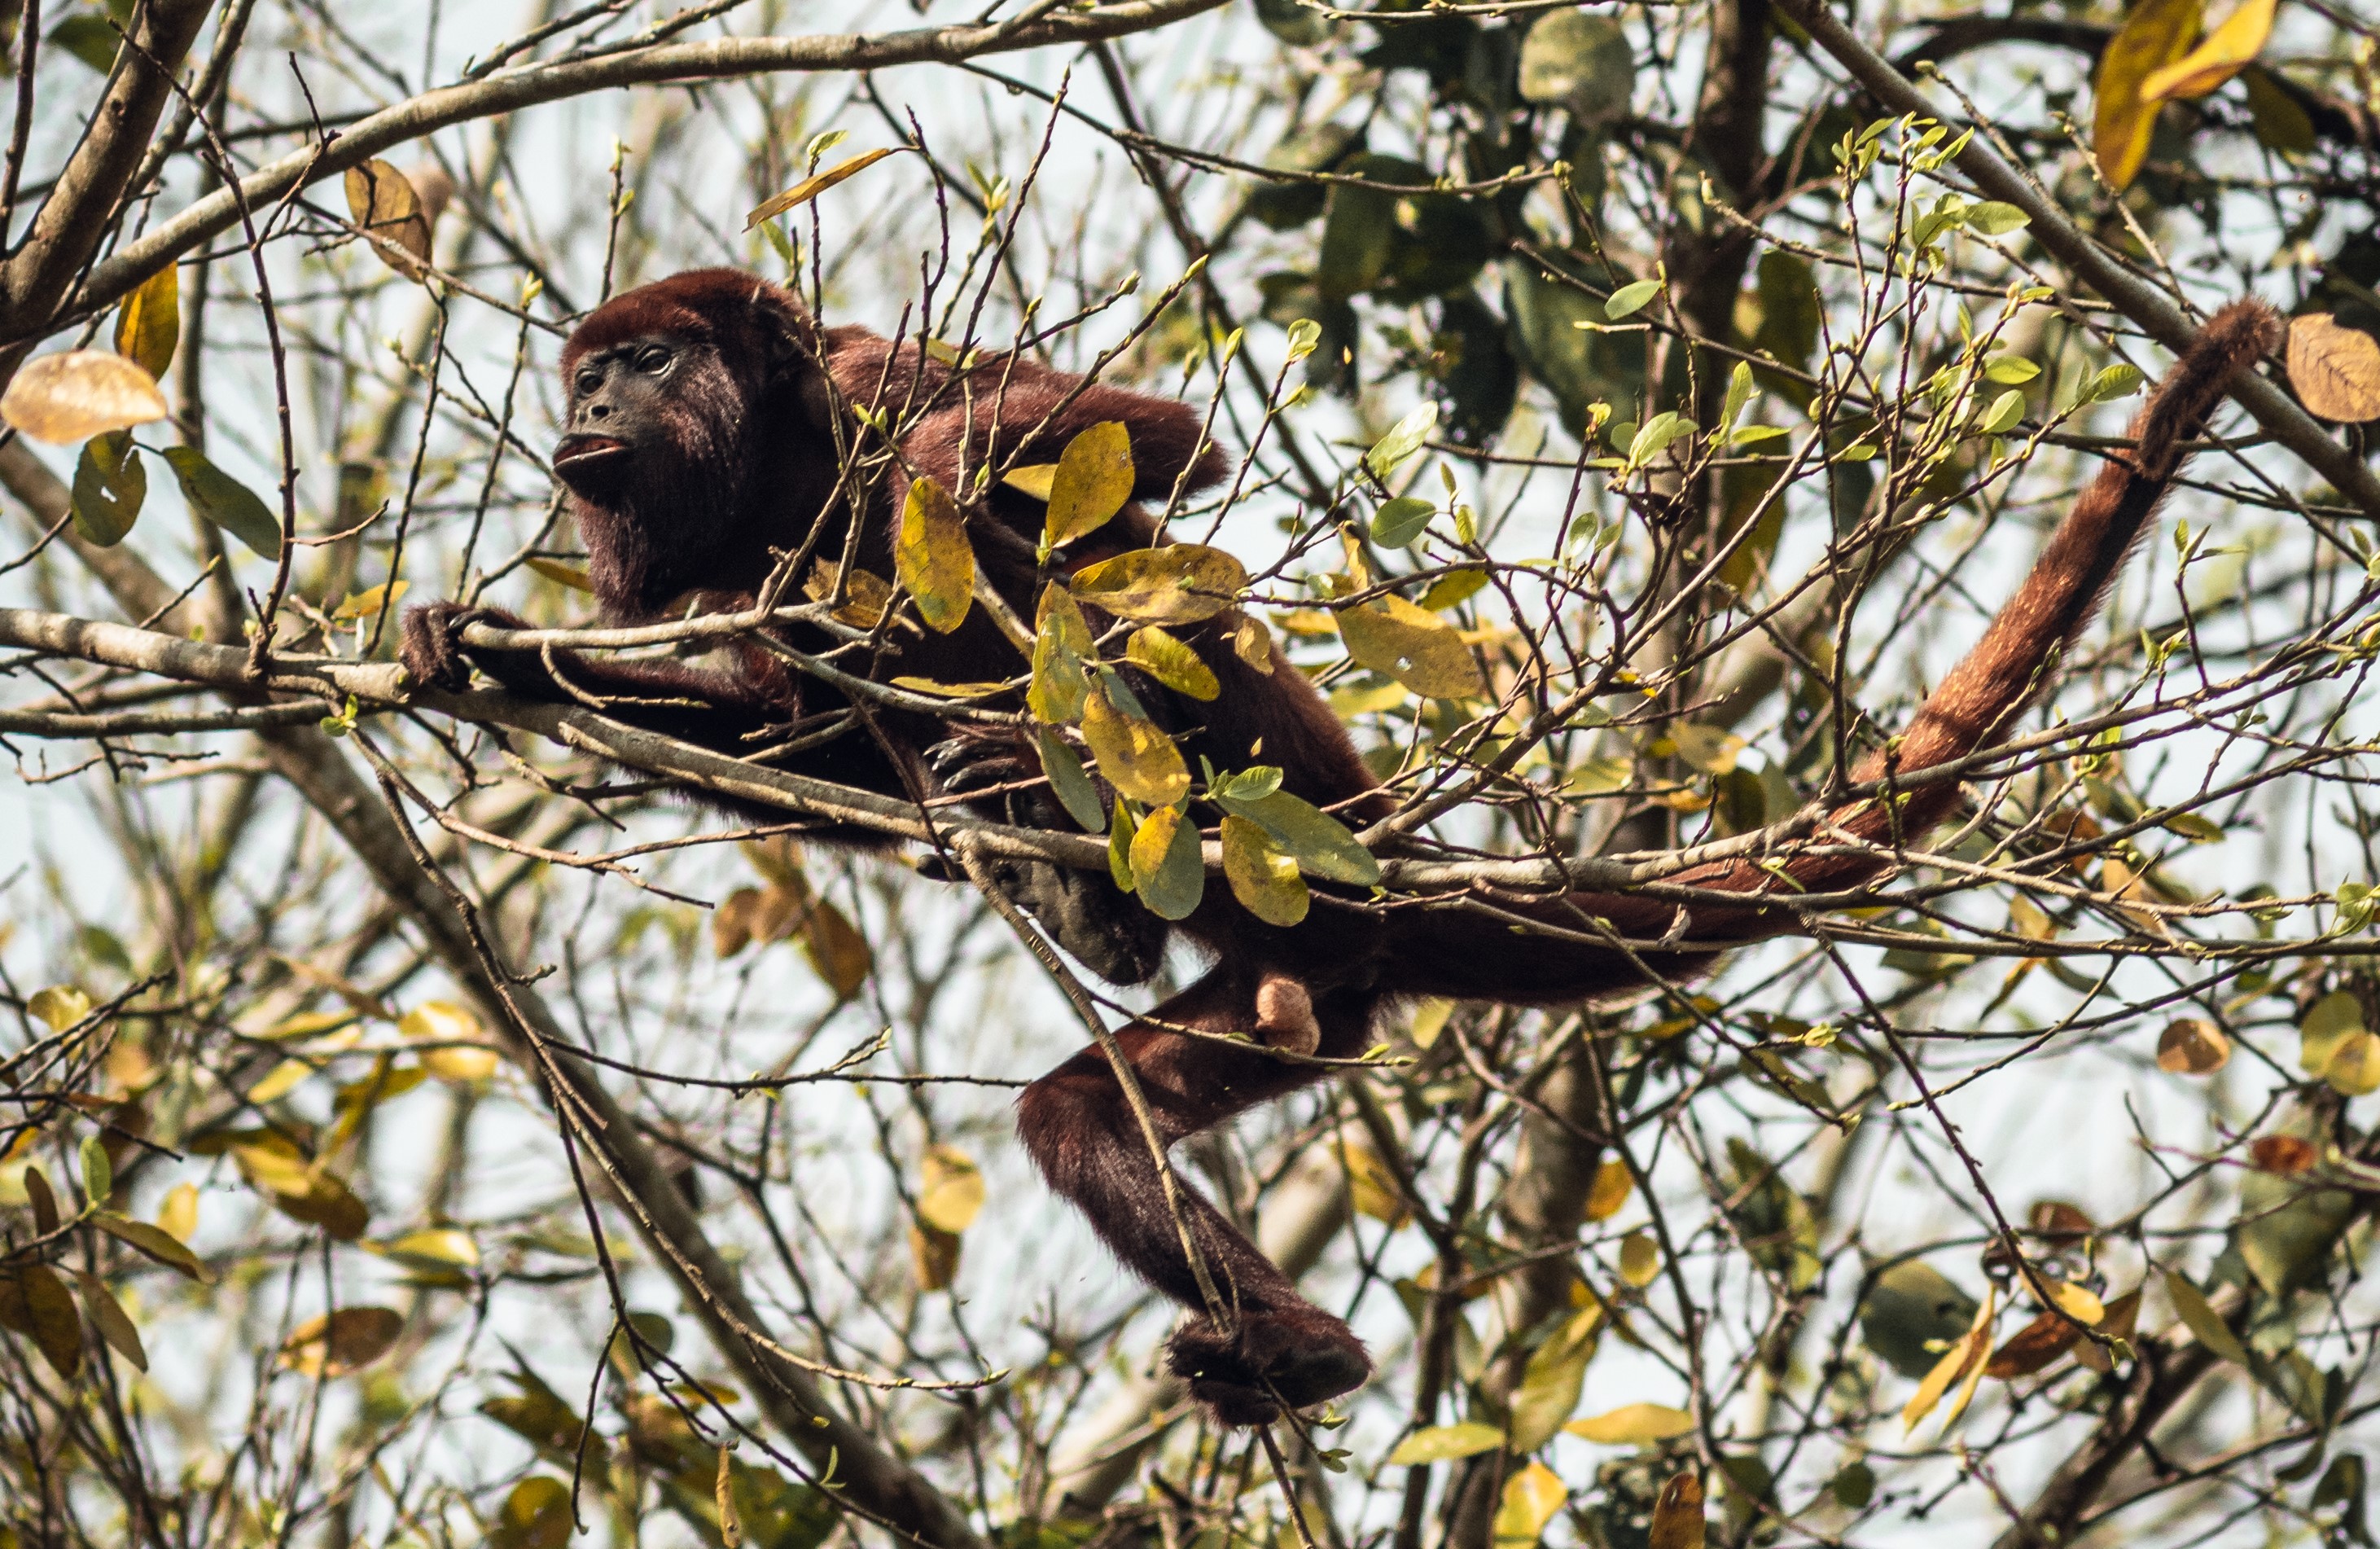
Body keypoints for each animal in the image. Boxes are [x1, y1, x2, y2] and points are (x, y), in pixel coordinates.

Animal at [403, 269, 2281, 1426]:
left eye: (645, 357)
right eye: (586, 370)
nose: (591, 398)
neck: (772, 463)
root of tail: (1367, 864)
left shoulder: (875, 373)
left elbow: (1136, 438)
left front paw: (926, 490)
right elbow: (766, 714)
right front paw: (488, 651)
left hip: (1301, 881)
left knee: (1105, 568)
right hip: (1291, 996)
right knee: (1087, 1112)